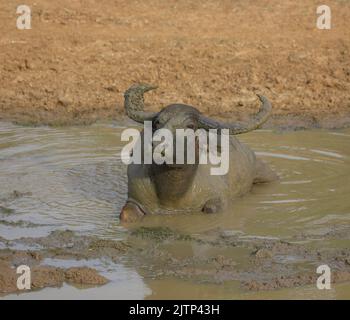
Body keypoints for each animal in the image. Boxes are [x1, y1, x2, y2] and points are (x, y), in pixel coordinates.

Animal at [119, 84, 278, 221]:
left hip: (266, 173)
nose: (156, 144)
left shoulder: (218, 200)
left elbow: (211, 209)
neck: (173, 196)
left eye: (190, 126)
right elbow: (125, 215)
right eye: (157, 122)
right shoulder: (134, 199)